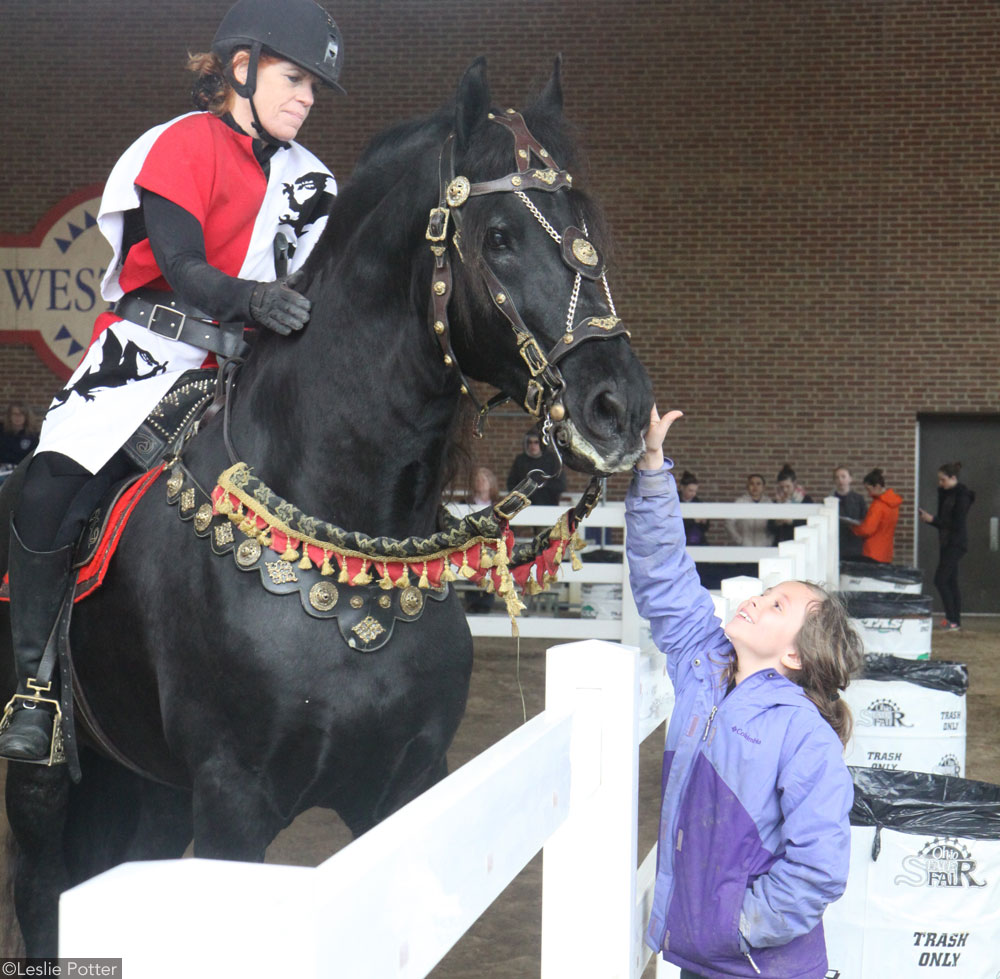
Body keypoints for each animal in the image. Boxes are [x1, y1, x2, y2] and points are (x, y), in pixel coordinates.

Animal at [1, 57, 656, 952]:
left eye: (587, 223)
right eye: (498, 236)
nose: (617, 407)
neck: (347, 554)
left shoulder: (406, 787)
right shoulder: (234, 803)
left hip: (145, 781)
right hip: (43, 782)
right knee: (40, 891)